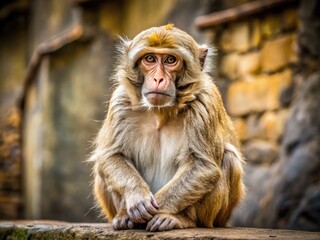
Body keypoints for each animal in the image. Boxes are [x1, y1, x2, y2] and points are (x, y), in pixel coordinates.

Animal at [90, 23, 245, 232]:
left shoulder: (205, 100)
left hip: (217, 217)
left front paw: (157, 212)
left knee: (228, 157)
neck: (160, 112)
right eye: (150, 59)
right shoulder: (120, 101)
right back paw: (123, 216)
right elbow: (111, 156)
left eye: (171, 60)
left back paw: (181, 219)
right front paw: (137, 199)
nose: (158, 79)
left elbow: (204, 166)